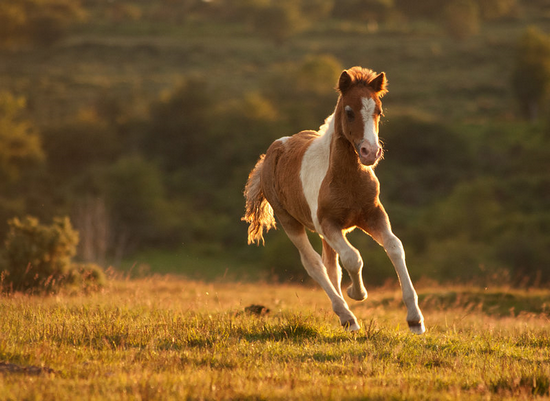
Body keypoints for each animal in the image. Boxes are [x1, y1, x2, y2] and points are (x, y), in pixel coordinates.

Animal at [243, 66, 426, 334]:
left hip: (327, 232)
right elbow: (353, 258)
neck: (346, 179)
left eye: (378, 112)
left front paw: (415, 319)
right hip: (291, 222)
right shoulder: (329, 223)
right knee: (314, 264)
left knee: (331, 266)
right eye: (349, 112)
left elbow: (394, 247)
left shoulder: (373, 215)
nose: (370, 152)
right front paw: (357, 293)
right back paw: (347, 316)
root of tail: (272, 151)